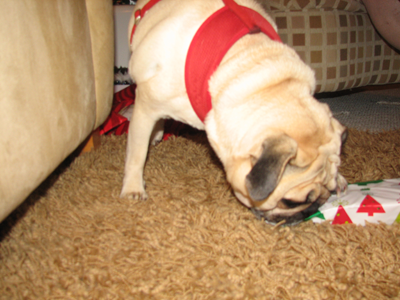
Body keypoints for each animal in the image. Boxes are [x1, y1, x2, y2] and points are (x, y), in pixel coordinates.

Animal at [121, 0, 346, 225]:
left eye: (329, 190)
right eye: (290, 202)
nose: (310, 211)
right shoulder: (146, 105)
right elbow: (137, 153)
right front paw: (133, 187)